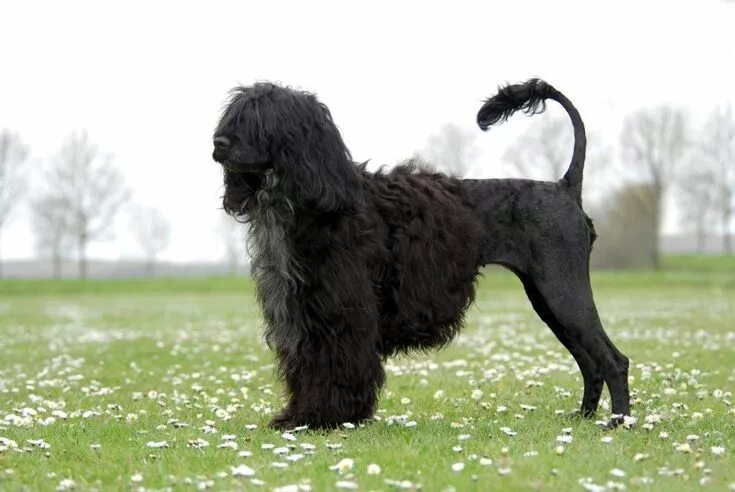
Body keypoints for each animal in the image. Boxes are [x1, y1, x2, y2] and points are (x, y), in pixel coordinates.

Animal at [213, 79, 632, 428]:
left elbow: (336, 364)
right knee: (590, 361)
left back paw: (617, 423)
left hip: (563, 290)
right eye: (235, 115)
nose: (218, 142)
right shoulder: (301, 312)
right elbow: (306, 366)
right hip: (548, 298)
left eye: (261, 118)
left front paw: (326, 418)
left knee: (613, 360)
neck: (308, 200)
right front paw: (300, 416)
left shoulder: (341, 311)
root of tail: (564, 187)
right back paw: (583, 418)